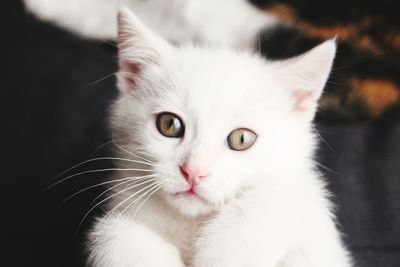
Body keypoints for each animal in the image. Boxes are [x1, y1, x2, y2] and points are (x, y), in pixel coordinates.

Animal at [86, 7, 350, 267]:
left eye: (242, 139)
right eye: (169, 124)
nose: (194, 172)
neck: (192, 223)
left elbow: (280, 197)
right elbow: (114, 233)